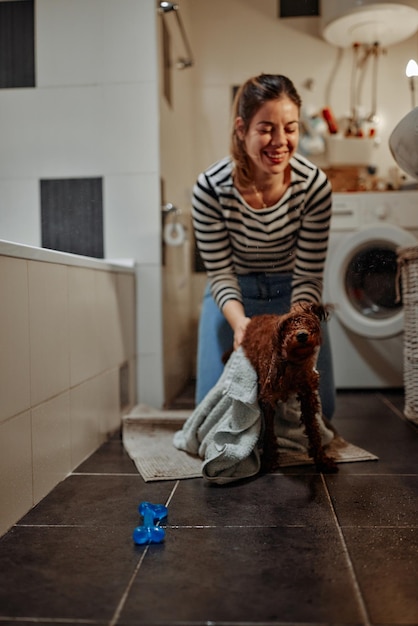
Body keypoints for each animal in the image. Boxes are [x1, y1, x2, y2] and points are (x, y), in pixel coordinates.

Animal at [240, 300, 338, 470]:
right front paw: (269, 459)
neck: (293, 365)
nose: (302, 335)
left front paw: (322, 460)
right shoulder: (268, 399)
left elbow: (313, 429)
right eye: (286, 326)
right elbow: (270, 432)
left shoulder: (307, 396)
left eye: (309, 321)